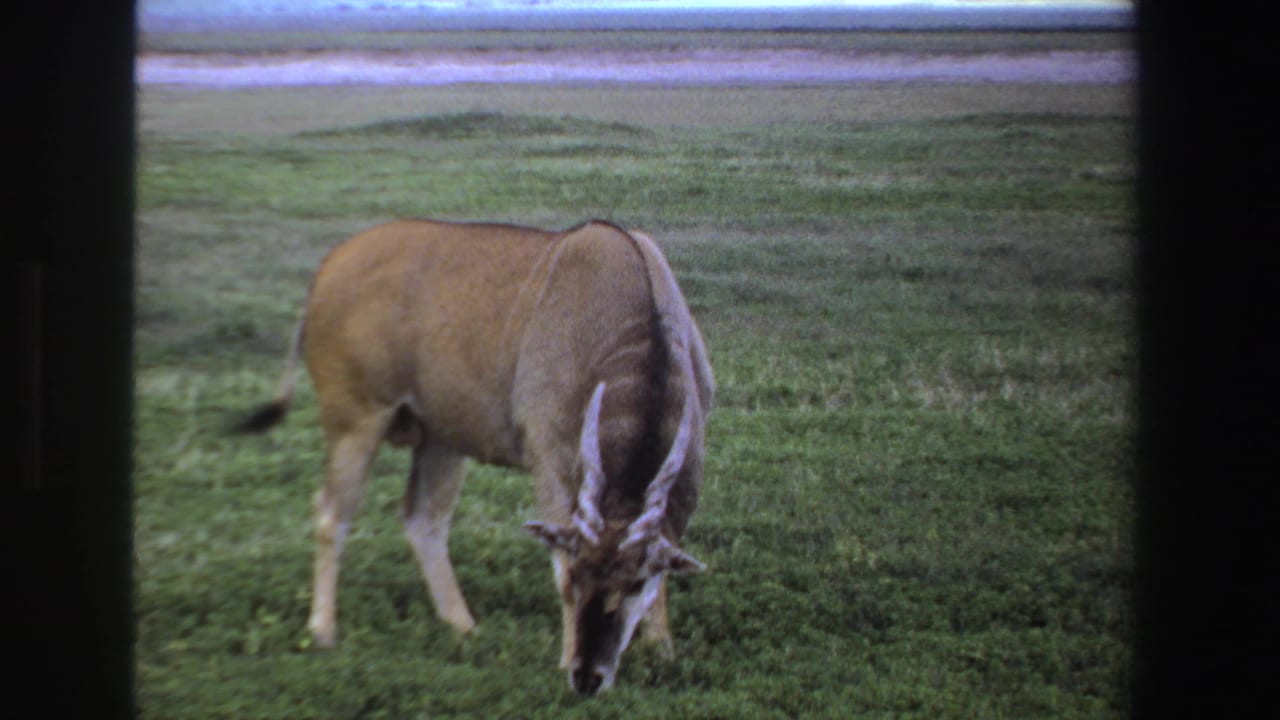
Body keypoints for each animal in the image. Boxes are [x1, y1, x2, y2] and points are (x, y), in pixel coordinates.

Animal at [235, 219, 713, 694]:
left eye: (636, 582)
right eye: (578, 577)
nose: (586, 676)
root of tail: (327, 267)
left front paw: (662, 649)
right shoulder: (550, 460)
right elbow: (557, 555)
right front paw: (565, 657)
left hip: (440, 438)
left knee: (422, 518)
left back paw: (463, 626)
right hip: (356, 419)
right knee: (332, 512)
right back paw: (323, 630)